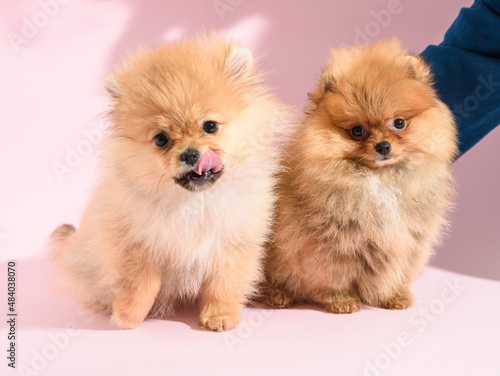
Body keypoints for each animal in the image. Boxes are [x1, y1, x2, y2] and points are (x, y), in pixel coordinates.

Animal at [50, 33, 290, 330]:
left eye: (210, 126)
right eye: (161, 139)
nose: (190, 154)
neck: (194, 202)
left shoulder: (233, 243)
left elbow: (223, 284)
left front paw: (220, 316)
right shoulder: (136, 242)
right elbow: (138, 284)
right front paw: (127, 316)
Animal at [264, 39, 458, 312]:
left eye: (399, 123)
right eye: (357, 131)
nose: (383, 146)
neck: (380, 179)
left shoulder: (405, 241)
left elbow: (390, 273)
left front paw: (392, 296)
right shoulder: (330, 244)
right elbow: (333, 276)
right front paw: (341, 300)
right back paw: (277, 293)